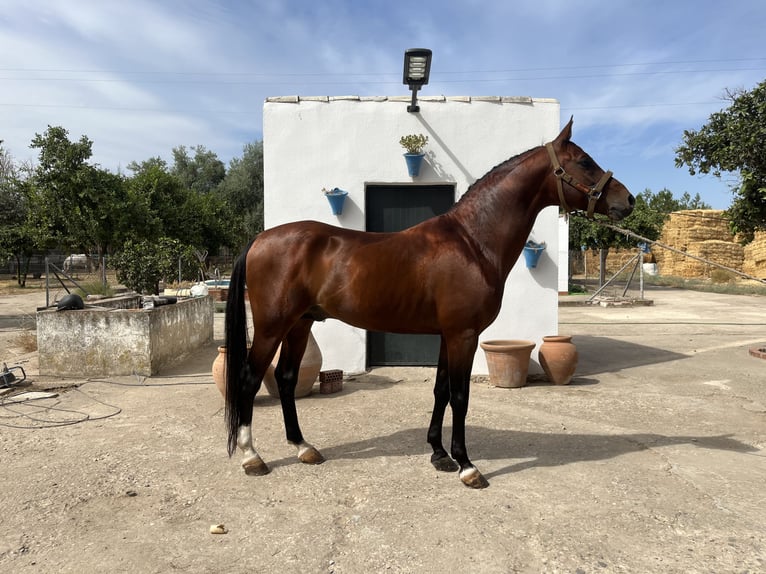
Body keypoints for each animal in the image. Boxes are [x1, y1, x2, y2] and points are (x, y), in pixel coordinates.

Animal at [224, 118, 636, 490]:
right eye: (584, 161)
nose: (628, 200)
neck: (473, 242)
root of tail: (260, 239)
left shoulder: (446, 335)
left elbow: (440, 391)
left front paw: (440, 455)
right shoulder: (463, 335)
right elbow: (460, 396)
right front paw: (467, 466)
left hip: (300, 323)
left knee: (285, 377)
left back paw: (303, 447)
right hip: (272, 326)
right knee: (249, 378)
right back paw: (252, 457)